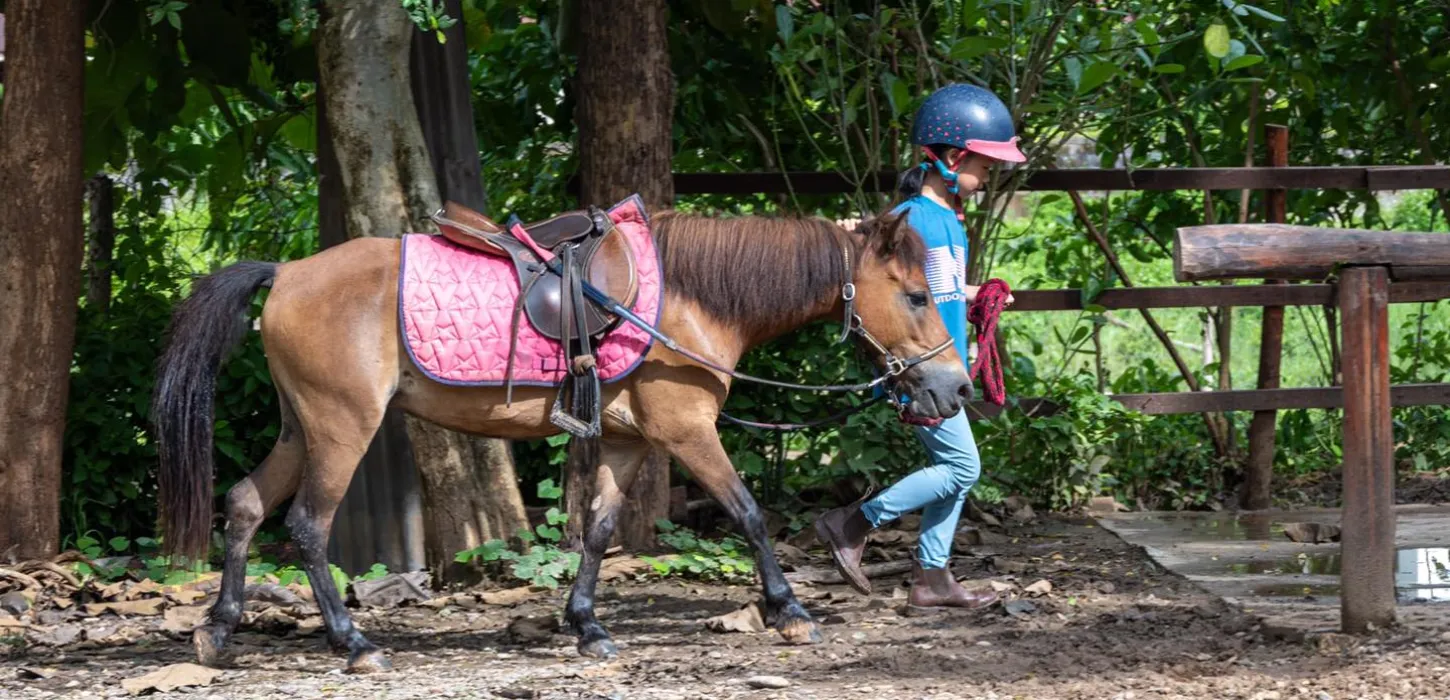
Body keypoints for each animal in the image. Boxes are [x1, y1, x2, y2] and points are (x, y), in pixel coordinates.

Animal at [150, 202, 972, 673]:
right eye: (916, 294)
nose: (956, 387)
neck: (689, 299)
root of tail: (286, 273)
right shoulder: (687, 430)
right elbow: (746, 512)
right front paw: (789, 611)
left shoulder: (630, 442)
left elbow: (600, 530)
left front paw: (587, 627)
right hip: (340, 427)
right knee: (308, 525)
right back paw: (354, 644)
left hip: (302, 427)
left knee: (245, 503)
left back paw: (218, 631)